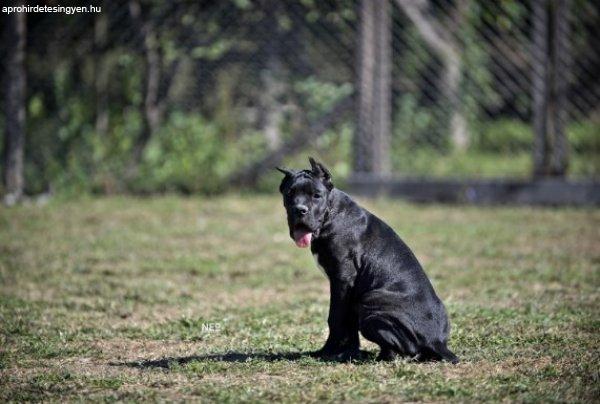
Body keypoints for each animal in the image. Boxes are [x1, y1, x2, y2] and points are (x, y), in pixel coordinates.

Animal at [278, 158, 460, 362]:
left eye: (317, 195)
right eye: (289, 194)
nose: (300, 210)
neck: (331, 215)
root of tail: (437, 342)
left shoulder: (342, 280)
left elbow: (335, 318)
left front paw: (327, 353)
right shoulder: (348, 290)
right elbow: (348, 324)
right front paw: (347, 352)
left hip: (370, 304)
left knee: (402, 350)